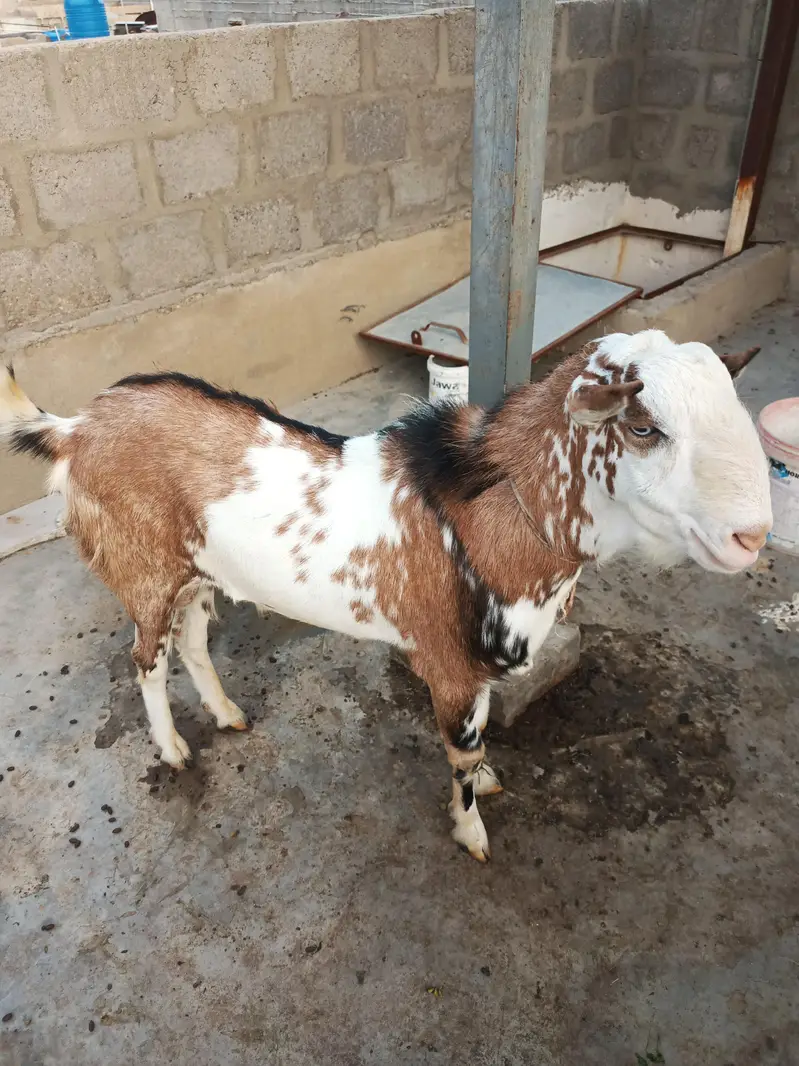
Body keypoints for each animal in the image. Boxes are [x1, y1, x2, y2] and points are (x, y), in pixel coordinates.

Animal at [0, 331, 772, 861]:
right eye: (642, 428)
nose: (753, 535)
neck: (496, 514)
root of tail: (73, 429)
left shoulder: (478, 671)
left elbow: (481, 743)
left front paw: (490, 780)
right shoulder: (450, 667)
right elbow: (460, 754)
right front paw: (471, 830)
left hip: (198, 574)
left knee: (190, 643)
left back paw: (227, 715)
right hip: (146, 573)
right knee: (146, 659)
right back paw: (172, 749)